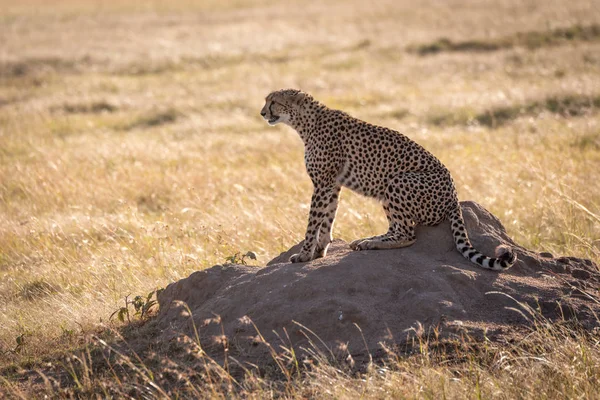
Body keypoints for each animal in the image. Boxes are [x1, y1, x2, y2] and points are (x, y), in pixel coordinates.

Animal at [260, 90, 516, 272]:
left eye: (273, 101)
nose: (262, 113)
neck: (306, 123)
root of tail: (454, 198)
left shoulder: (323, 183)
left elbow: (314, 221)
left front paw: (304, 254)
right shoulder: (332, 184)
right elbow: (327, 219)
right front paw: (318, 252)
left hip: (397, 181)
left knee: (408, 234)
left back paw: (373, 243)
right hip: (389, 192)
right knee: (396, 228)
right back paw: (368, 240)